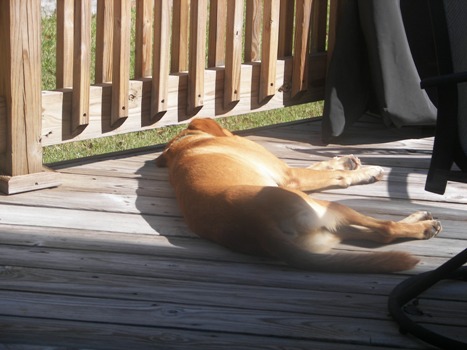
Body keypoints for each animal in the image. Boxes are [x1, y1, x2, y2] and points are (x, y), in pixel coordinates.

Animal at [157, 118, 442, 274]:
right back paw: (424, 225)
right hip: (326, 207)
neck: (187, 144)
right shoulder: (289, 176)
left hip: (325, 228)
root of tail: (259, 228)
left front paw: (346, 161)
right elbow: (334, 176)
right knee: (385, 229)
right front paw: (365, 171)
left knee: (371, 233)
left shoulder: (291, 173)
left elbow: (320, 166)